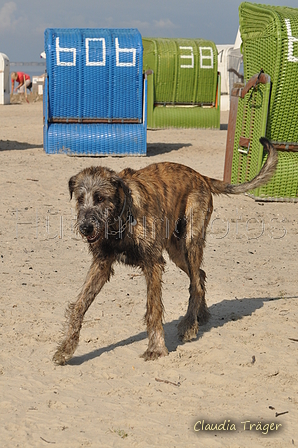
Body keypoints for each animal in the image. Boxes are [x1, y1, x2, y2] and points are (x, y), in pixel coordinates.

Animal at [53, 136, 278, 364]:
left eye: (100, 198)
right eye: (80, 199)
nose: (85, 228)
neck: (121, 220)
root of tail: (201, 177)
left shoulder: (152, 263)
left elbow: (153, 308)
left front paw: (156, 348)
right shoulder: (101, 264)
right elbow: (80, 305)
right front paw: (66, 348)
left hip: (190, 242)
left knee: (196, 284)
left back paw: (189, 325)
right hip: (176, 251)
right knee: (199, 276)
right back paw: (201, 314)